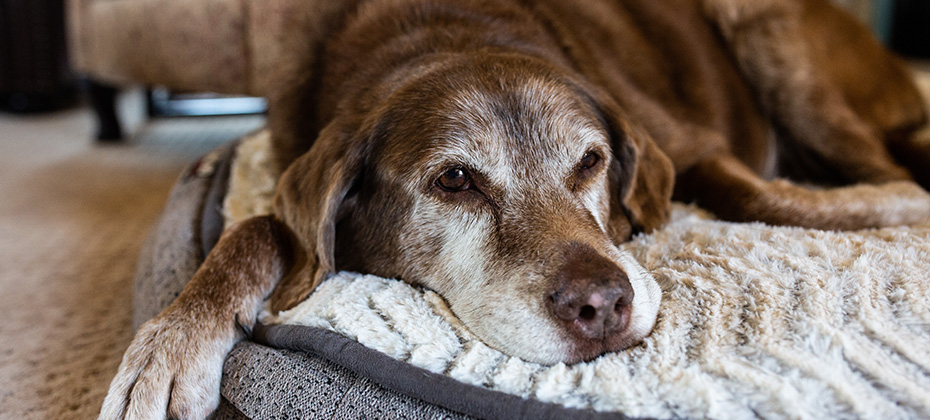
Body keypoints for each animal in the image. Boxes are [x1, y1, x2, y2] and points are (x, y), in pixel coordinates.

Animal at [101, 0, 928, 418]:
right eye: (455, 181)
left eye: (591, 162)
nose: (602, 307)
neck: (444, 32)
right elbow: (261, 227)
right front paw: (170, 346)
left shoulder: (689, 146)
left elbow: (752, 192)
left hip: (771, 35)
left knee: (882, 163)